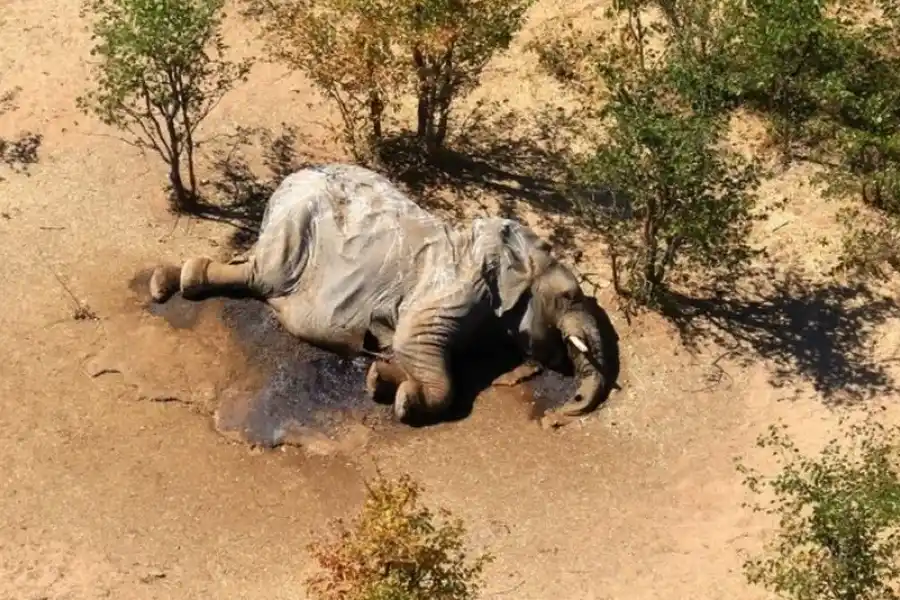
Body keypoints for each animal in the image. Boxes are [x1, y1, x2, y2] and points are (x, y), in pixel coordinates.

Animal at [149, 163, 619, 425]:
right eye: (569, 296)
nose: (561, 415)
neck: (512, 248)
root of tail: (287, 181)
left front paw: (381, 378)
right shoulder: (456, 288)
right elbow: (416, 343)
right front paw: (403, 399)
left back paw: (169, 280)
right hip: (295, 228)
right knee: (261, 276)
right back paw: (170, 283)